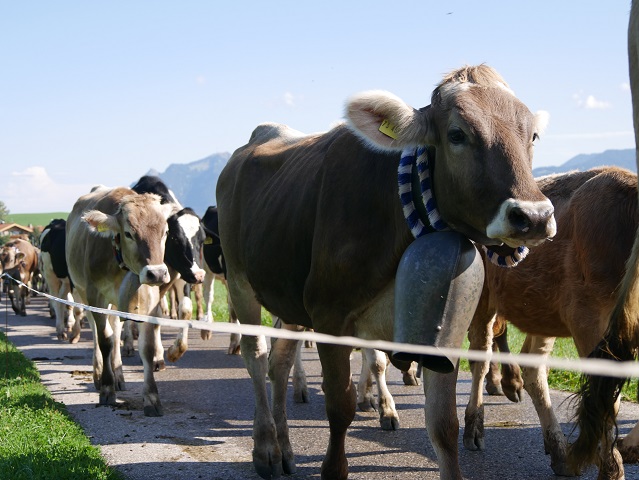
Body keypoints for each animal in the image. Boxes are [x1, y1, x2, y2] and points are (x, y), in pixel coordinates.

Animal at [66, 186, 174, 414]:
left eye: (165, 232)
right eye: (128, 233)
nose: (157, 274)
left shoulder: (149, 302)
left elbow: (147, 347)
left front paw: (152, 398)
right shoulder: (95, 295)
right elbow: (105, 340)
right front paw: (106, 389)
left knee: (115, 329)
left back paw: (118, 375)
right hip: (83, 292)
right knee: (98, 332)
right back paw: (100, 374)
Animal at [218, 64, 556, 480]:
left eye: (533, 134)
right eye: (457, 134)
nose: (534, 216)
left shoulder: (440, 329)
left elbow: (442, 425)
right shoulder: (330, 314)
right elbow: (340, 405)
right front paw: (334, 467)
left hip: (290, 296)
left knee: (278, 364)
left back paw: (284, 449)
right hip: (239, 280)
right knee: (256, 355)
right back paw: (265, 447)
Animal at [464, 166, 639, 476]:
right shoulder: (588, 320)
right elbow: (607, 401)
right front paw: (611, 468)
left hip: (544, 308)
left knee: (534, 369)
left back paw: (558, 450)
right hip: (484, 298)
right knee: (480, 357)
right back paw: (474, 425)